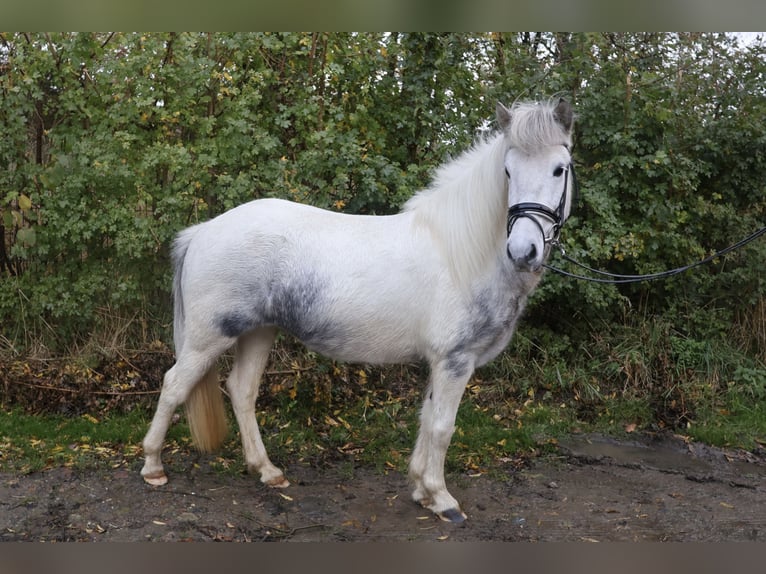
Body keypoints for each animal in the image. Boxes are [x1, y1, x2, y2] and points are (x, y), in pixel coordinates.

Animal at [141, 98, 577, 523]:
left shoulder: (439, 362)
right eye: (507, 170)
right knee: (174, 385)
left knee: (242, 391)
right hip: (208, 337)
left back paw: (267, 470)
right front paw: (442, 499)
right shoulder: (455, 360)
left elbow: (426, 419)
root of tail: (203, 231)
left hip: (258, 332)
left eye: (560, 169)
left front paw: (421, 490)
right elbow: (442, 428)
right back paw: (153, 466)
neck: (462, 252)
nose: (523, 251)